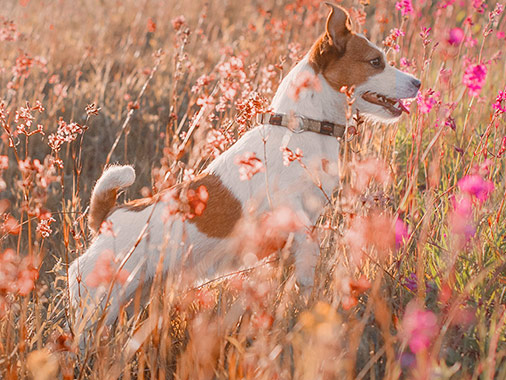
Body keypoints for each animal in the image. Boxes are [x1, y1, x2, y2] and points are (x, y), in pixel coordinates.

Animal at [69, 2, 422, 328]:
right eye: (375, 62)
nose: (418, 82)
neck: (303, 125)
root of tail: (107, 217)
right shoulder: (286, 207)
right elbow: (306, 241)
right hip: (98, 301)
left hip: (131, 297)